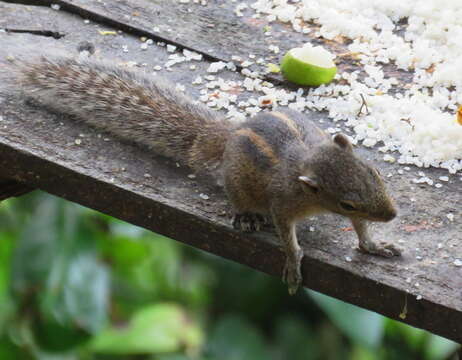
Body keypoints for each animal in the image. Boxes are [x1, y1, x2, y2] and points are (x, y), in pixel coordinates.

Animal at [6, 54, 400, 294]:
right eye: (347, 203)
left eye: (375, 173)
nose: (393, 214)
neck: (307, 165)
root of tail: (227, 135)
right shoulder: (282, 204)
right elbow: (288, 236)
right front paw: (293, 262)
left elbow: (363, 232)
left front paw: (375, 245)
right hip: (238, 186)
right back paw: (246, 217)